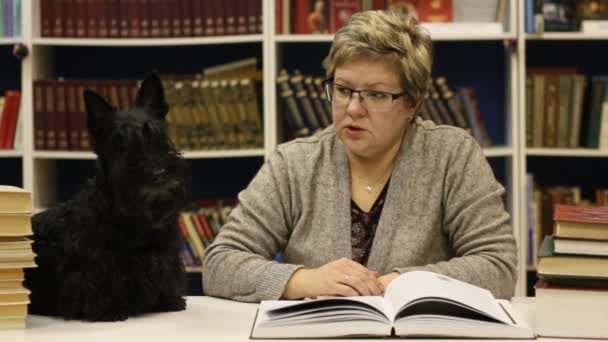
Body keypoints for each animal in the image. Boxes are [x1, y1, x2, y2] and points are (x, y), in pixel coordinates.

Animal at [24, 73, 190, 320]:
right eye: (119, 143)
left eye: (159, 137)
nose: (158, 174)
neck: (134, 220)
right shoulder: (94, 267)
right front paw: (109, 309)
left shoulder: (166, 254)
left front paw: (168, 301)